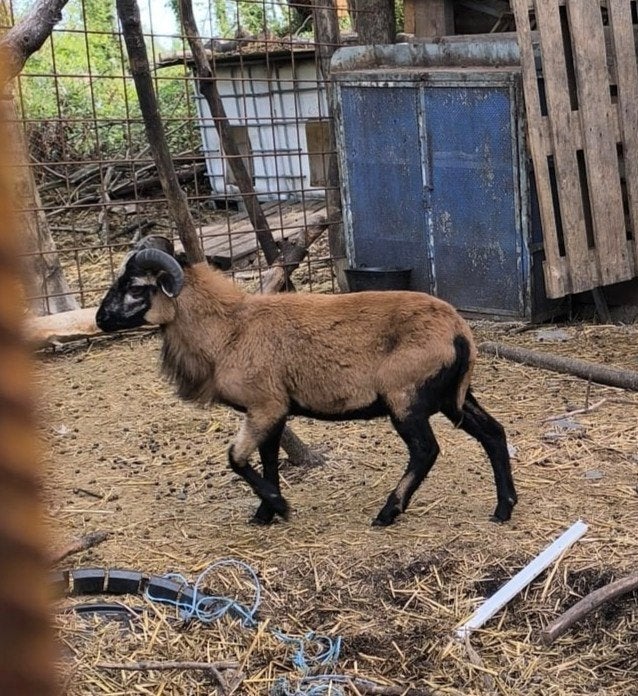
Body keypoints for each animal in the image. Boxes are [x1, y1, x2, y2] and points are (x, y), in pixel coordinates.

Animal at [96, 235, 518, 526]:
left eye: (136, 287)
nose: (100, 320)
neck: (228, 330)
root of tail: (460, 332)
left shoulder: (265, 405)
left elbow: (236, 458)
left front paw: (280, 507)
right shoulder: (271, 412)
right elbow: (266, 460)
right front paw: (264, 514)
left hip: (406, 398)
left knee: (426, 450)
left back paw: (387, 512)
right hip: (452, 397)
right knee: (493, 433)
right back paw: (503, 508)